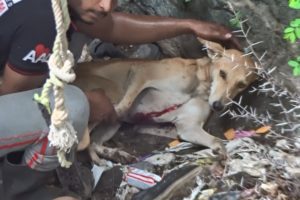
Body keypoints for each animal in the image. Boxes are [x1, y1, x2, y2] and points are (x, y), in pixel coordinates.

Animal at [74, 39, 256, 164]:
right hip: (112, 92)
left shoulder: (188, 127)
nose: (218, 106)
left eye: (241, 85)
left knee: (94, 142)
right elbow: (124, 106)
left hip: (112, 125)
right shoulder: (142, 71)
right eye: (222, 73)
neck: (201, 86)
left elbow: (217, 141)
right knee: (88, 133)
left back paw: (116, 154)